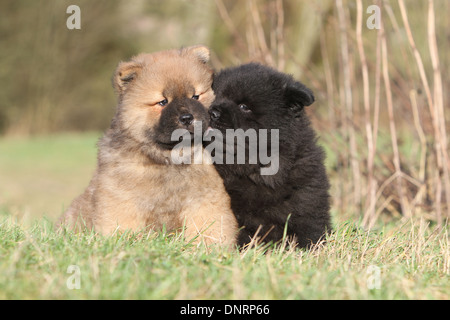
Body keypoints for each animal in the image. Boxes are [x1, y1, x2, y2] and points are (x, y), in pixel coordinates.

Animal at [58, 45, 237, 246]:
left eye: (196, 96)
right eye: (162, 102)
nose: (187, 117)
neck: (169, 157)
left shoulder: (204, 198)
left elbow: (209, 226)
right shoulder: (122, 197)